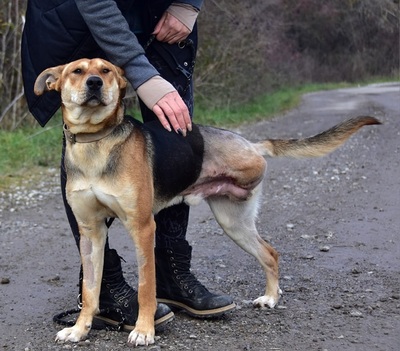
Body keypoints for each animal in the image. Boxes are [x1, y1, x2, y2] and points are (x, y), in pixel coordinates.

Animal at [34, 57, 382, 346]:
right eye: (77, 71)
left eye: (106, 70)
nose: (94, 83)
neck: (96, 141)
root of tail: (251, 144)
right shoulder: (91, 231)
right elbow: (90, 291)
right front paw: (79, 329)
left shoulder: (142, 227)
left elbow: (147, 288)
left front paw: (144, 330)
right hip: (233, 222)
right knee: (269, 253)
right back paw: (271, 297)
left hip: (234, 216)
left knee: (270, 253)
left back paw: (270, 298)